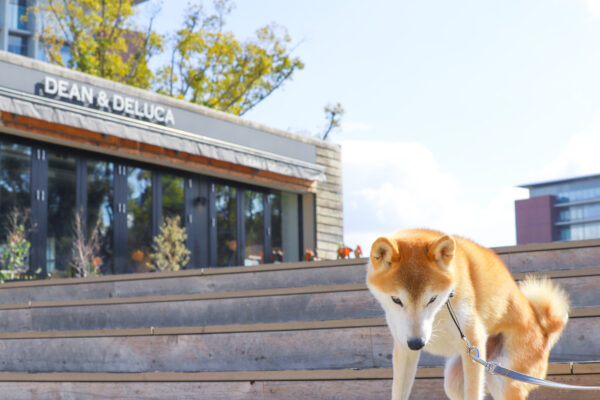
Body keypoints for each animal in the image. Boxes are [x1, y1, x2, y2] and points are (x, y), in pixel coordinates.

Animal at [368, 230, 568, 398]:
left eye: (432, 299)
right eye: (396, 300)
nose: (417, 343)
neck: (442, 309)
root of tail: (544, 331)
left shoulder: (474, 338)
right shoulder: (404, 348)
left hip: (502, 377)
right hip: (458, 376)